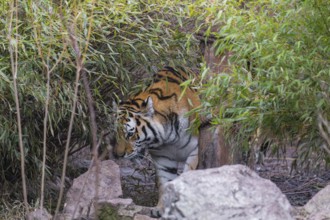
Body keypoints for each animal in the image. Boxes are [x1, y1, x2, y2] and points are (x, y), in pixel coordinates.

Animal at [112, 66, 200, 216]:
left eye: (130, 133)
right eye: (116, 133)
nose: (118, 155)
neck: (169, 138)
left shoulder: (196, 149)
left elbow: (190, 175)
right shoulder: (163, 158)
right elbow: (165, 183)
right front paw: (161, 209)